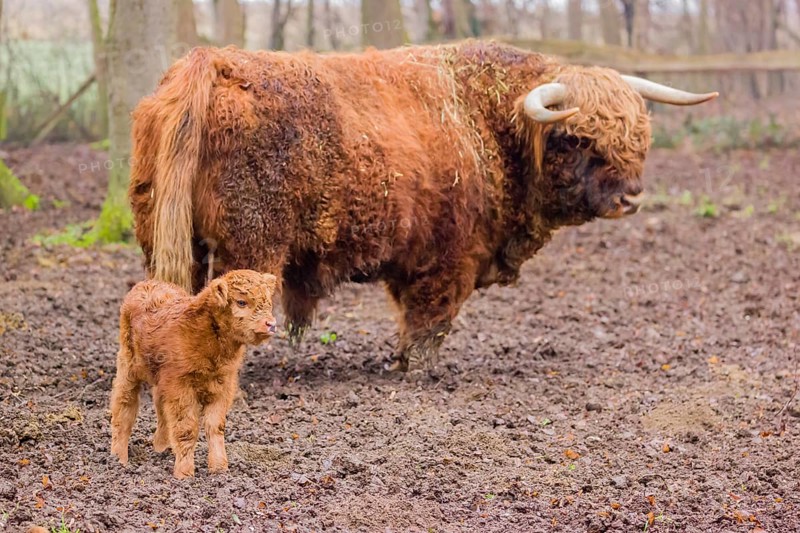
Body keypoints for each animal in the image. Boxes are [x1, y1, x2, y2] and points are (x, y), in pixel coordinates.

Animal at [129, 41, 717, 371]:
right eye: (575, 138)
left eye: (638, 136)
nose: (630, 196)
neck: (492, 125)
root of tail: (213, 62)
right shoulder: (449, 260)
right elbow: (430, 321)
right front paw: (417, 369)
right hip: (251, 246)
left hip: (169, 238)